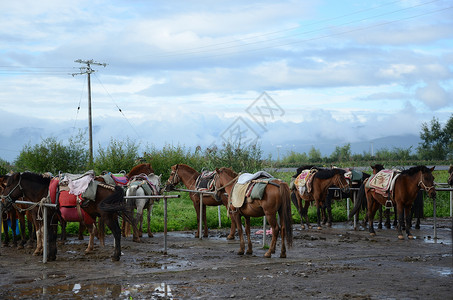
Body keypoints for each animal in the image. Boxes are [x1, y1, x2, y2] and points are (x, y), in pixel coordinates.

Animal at [1, 172, 136, 262]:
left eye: (8, 185)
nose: (3, 201)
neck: (44, 191)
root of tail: (113, 188)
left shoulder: (48, 217)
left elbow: (49, 236)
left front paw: (48, 255)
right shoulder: (54, 219)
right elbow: (52, 236)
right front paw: (52, 255)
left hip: (107, 217)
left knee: (116, 233)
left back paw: (115, 256)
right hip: (112, 216)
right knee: (115, 232)